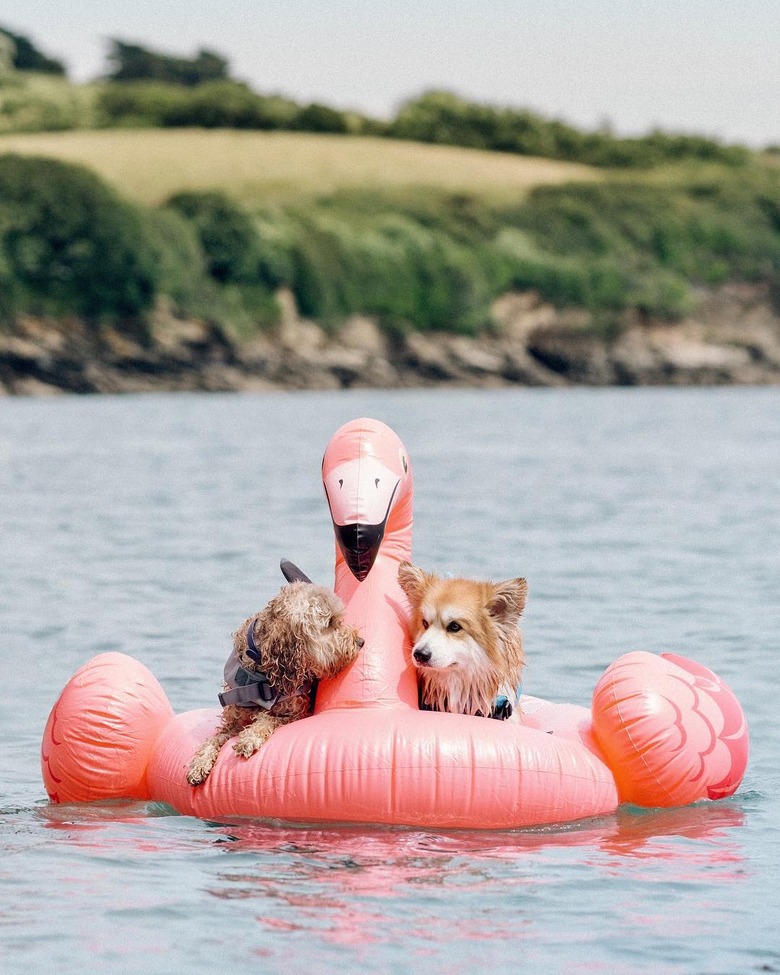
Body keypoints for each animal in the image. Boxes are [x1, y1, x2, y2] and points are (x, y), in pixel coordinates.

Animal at [186, 584, 362, 788]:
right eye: (329, 623)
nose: (360, 641)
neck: (260, 670)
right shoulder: (233, 722)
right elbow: (213, 740)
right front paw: (199, 763)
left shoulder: (295, 714)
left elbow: (267, 718)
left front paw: (249, 738)